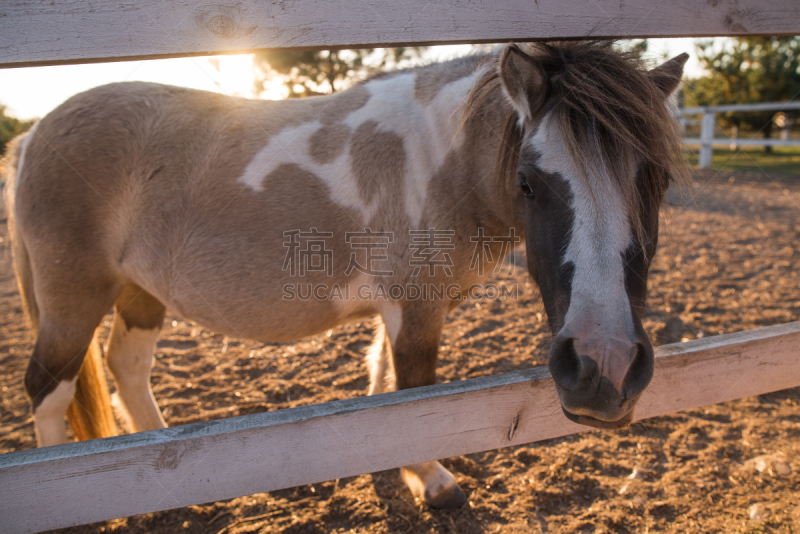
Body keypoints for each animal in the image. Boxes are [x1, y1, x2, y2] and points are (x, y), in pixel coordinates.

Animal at [1, 42, 688, 510]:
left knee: (127, 366)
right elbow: (413, 392)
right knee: (49, 389)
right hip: (73, 300)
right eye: (529, 181)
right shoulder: (416, 308)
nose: (604, 367)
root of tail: (34, 134)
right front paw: (433, 481)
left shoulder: (398, 310)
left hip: (140, 293)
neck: (436, 158)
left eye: (658, 181)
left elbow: (381, 381)